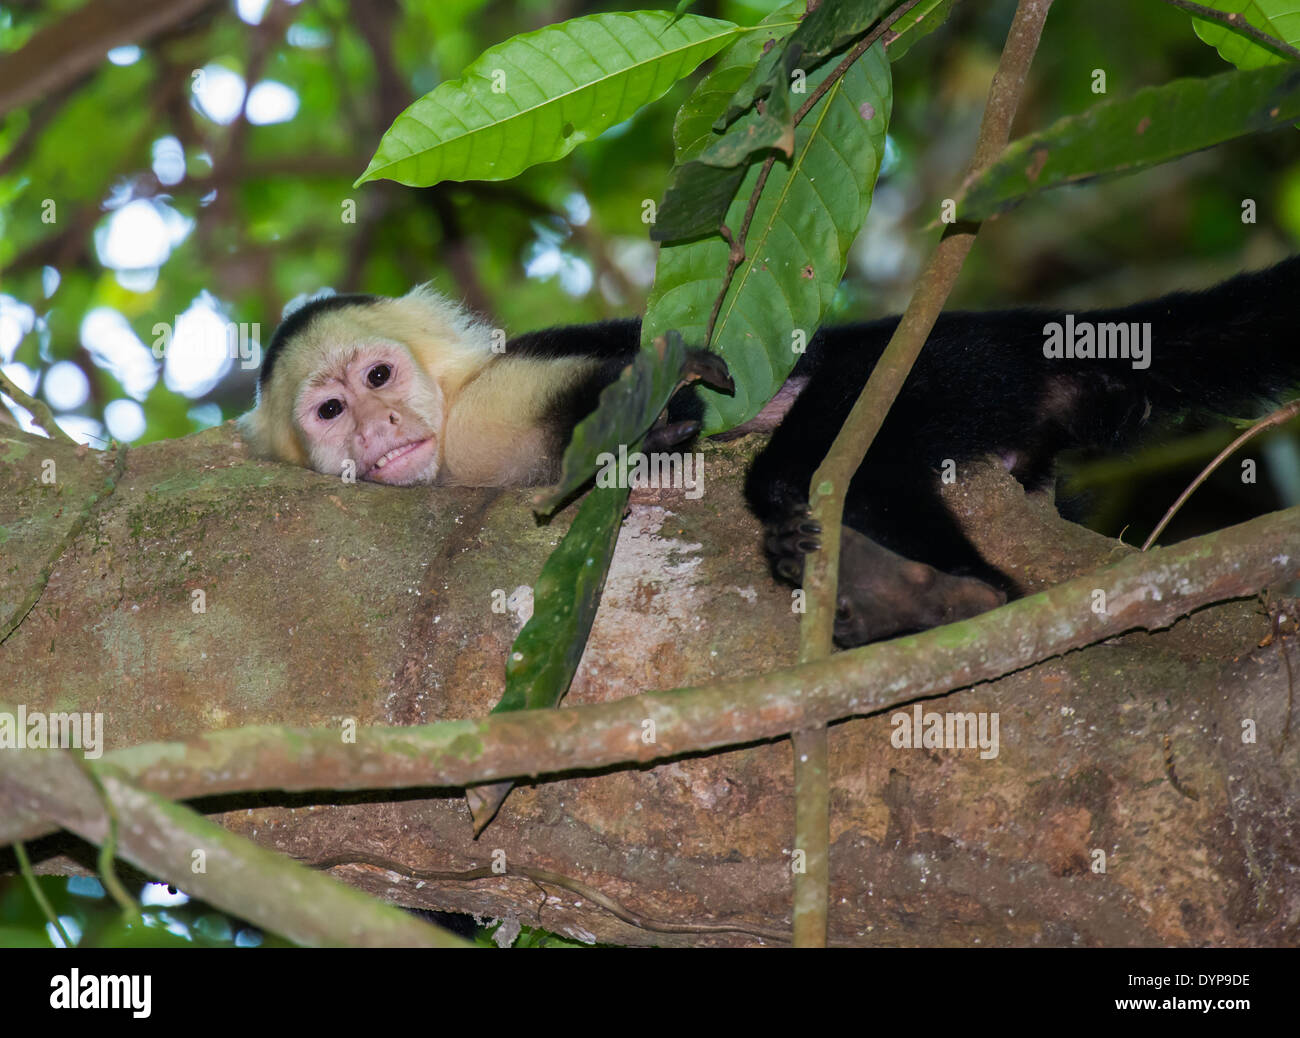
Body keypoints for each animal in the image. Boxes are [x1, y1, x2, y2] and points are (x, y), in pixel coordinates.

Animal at [244, 257, 1300, 645]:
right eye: (330, 410)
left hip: (922, 370)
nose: (377, 432)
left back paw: (952, 594)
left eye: (379, 379)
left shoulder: (489, 416)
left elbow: (656, 381)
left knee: (807, 465)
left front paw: (663, 420)